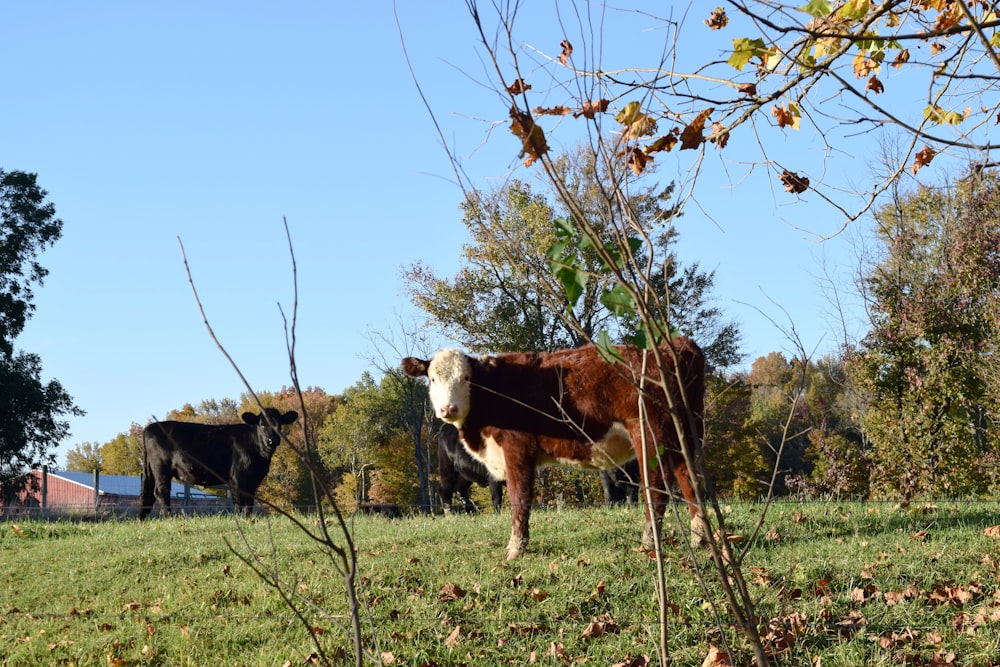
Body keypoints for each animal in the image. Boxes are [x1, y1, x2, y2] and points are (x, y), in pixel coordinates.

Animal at [139, 408, 298, 520]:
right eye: (262, 424)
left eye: (279, 424)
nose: (272, 440)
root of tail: (149, 427)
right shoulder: (236, 477)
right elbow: (239, 501)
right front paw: (240, 519)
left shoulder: (253, 480)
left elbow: (249, 501)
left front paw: (248, 518)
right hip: (161, 468)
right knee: (161, 491)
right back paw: (170, 517)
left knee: (149, 493)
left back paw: (144, 519)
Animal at [402, 340, 708, 560]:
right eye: (432, 379)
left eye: (466, 378)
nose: (448, 409)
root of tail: (670, 347)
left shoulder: (517, 448)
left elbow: (519, 497)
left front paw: (516, 548)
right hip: (682, 438)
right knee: (691, 482)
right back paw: (700, 538)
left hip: (649, 435)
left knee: (656, 490)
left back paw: (648, 544)